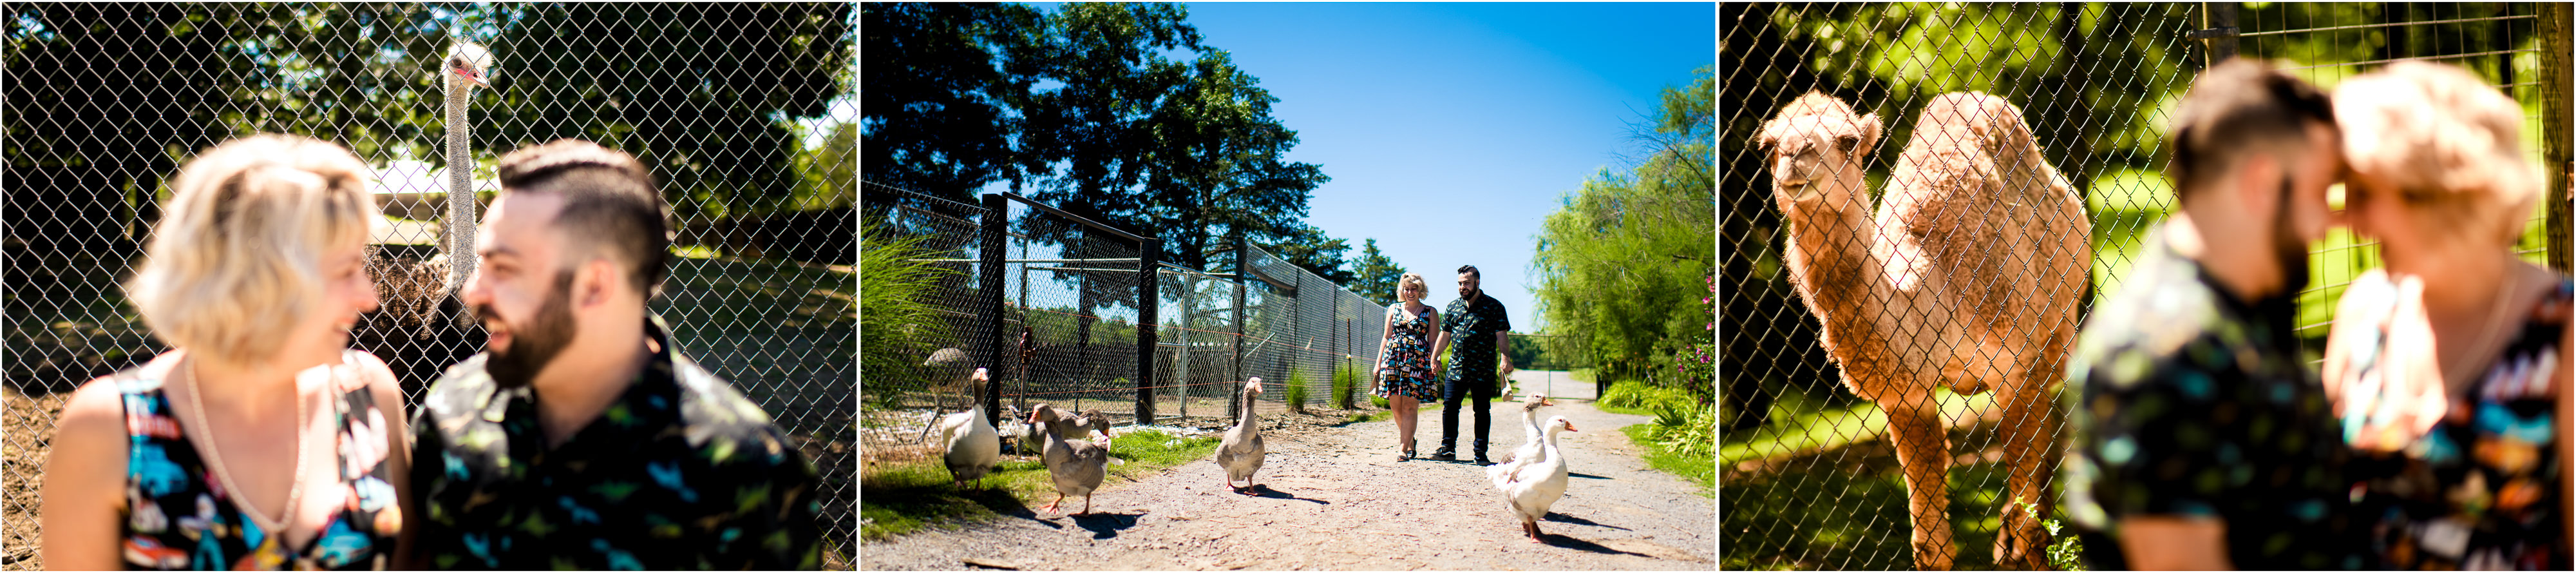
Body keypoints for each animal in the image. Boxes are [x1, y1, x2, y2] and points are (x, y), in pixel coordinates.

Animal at [1752, 92, 2092, 570]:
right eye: (1768, 146)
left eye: (1848, 140)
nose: (1795, 158)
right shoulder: (1908, 395)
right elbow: (1931, 544)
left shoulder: (2019, 363)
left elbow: (2027, 504)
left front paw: (2026, 544)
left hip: (2061, 324)